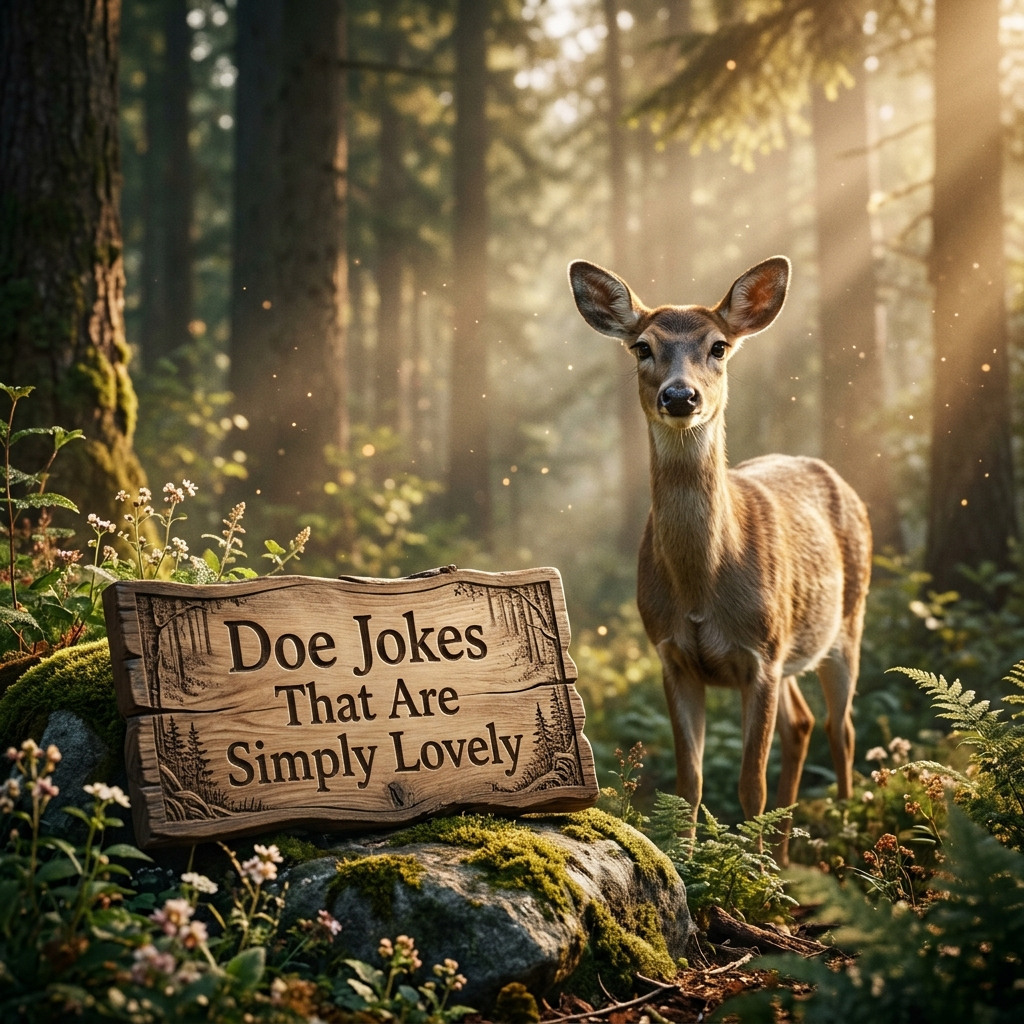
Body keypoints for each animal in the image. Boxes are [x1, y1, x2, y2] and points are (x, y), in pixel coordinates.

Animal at [568, 255, 872, 863]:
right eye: (642, 346)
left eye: (719, 346)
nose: (679, 396)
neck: (700, 587)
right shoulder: (672, 655)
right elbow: (690, 782)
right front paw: (690, 869)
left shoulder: (761, 658)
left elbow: (750, 785)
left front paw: (750, 877)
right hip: (792, 645)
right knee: (803, 724)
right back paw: (785, 857)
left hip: (846, 621)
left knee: (842, 728)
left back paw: (843, 849)